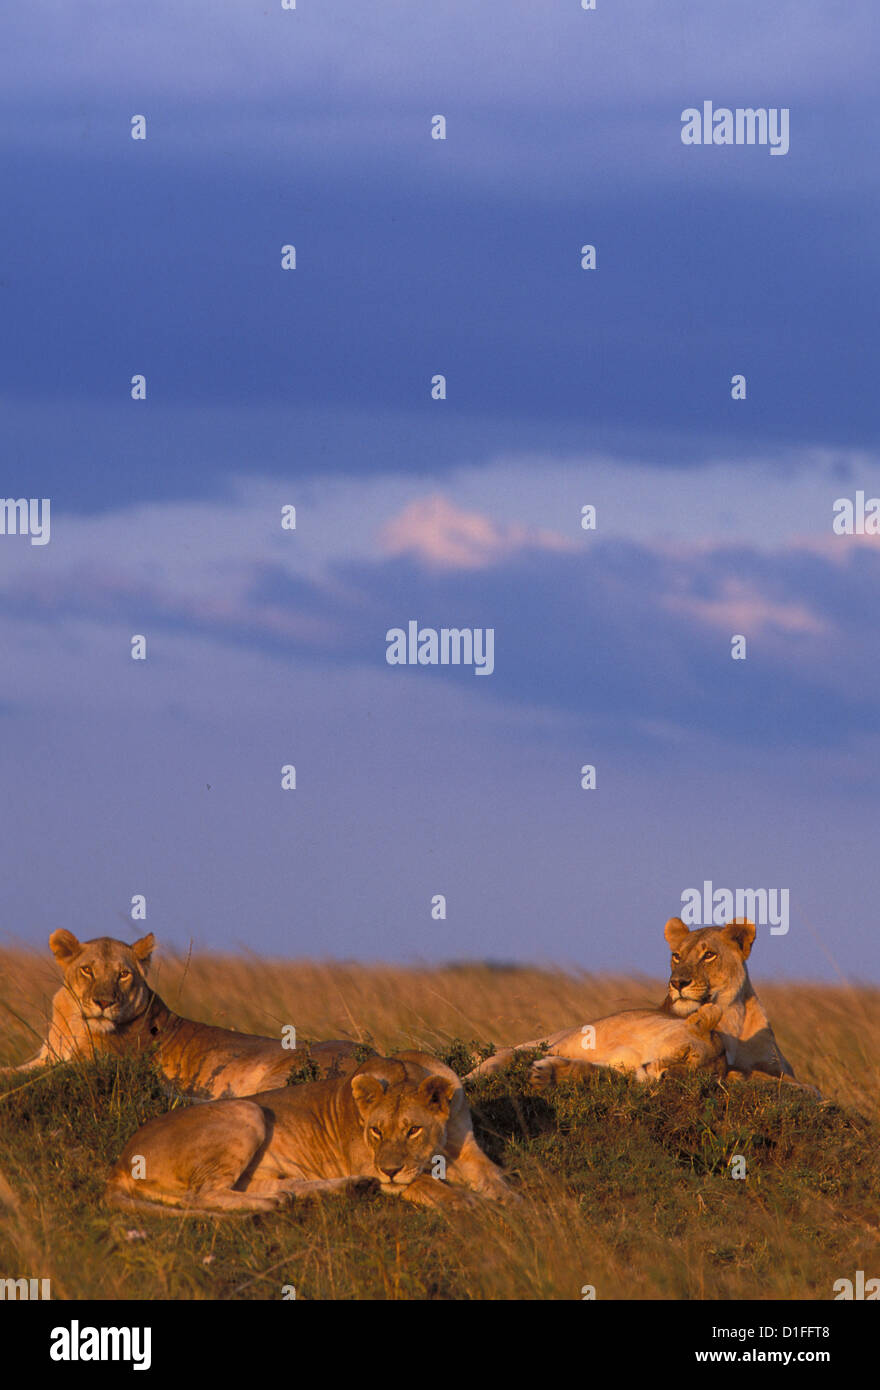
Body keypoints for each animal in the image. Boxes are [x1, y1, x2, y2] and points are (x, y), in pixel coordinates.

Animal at [12, 930, 362, 1097]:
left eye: (123, 974)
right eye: (87, 970)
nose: (103, 1002)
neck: (74, 1022)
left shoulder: (90, 1064)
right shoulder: (48, 1056)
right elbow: (18, 1069)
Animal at [104, 1052, 512, 1215]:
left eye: (413, 1129)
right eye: (375, 1131)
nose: (389, 1170)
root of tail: (120, 1162)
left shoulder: (467, 1149)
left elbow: (497, 1178)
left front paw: (518, 1206)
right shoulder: (377, 1166)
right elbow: (431, 1185)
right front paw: (470, 1203)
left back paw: (332, 1190)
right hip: (248, 1110)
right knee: (201, 1194)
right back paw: (271, 1204)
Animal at [466, 917, 802, 1088]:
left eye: (694, 1077)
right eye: (676, 955)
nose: (677, 983)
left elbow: (592, 1072)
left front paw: (550, 1073)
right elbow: (503, 1059)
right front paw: (472, 1078)